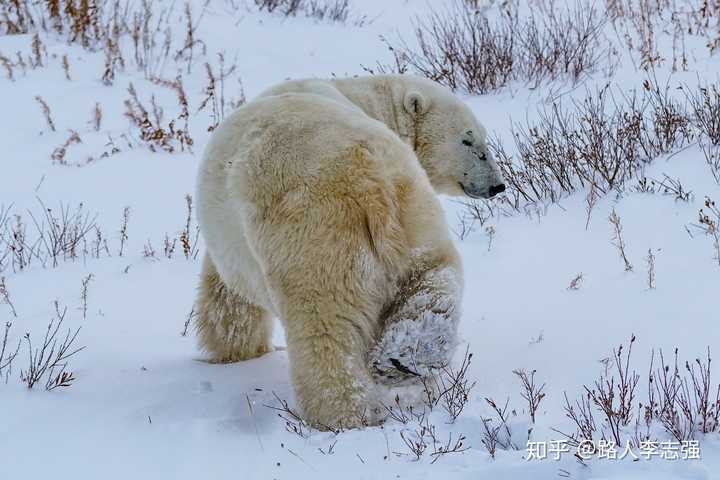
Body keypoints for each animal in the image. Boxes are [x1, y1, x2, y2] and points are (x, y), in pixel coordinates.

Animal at [194, 74, 504, 428]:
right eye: (468, 140)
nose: (497, 185)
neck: (362, 97)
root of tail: (368, 181)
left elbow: (229, 296)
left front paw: (235, 351)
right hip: (412, 209)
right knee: (433, 276)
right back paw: (403, 358)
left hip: (316, 235)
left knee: (326, 325)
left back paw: (340, 416)